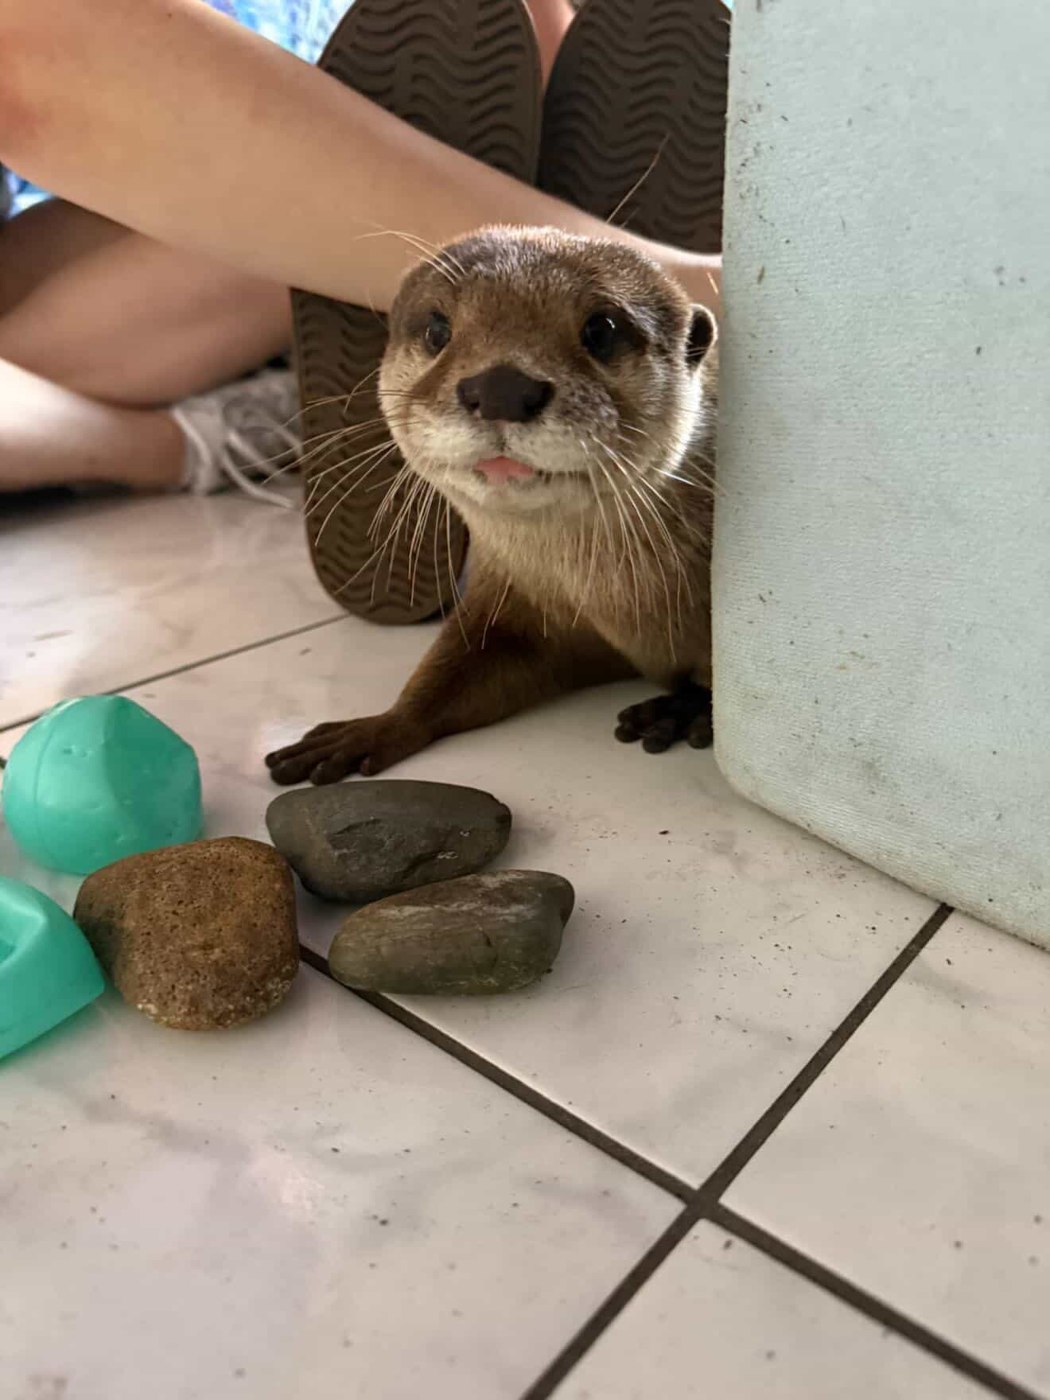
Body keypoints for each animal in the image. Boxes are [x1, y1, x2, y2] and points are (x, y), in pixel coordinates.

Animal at [267, 227, 718, 786]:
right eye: (437, 328)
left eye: (603, 329)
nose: (502, 387)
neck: (621, 606)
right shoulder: (515, 602)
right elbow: (455, 670)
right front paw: (375, 727)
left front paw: (689, 707)